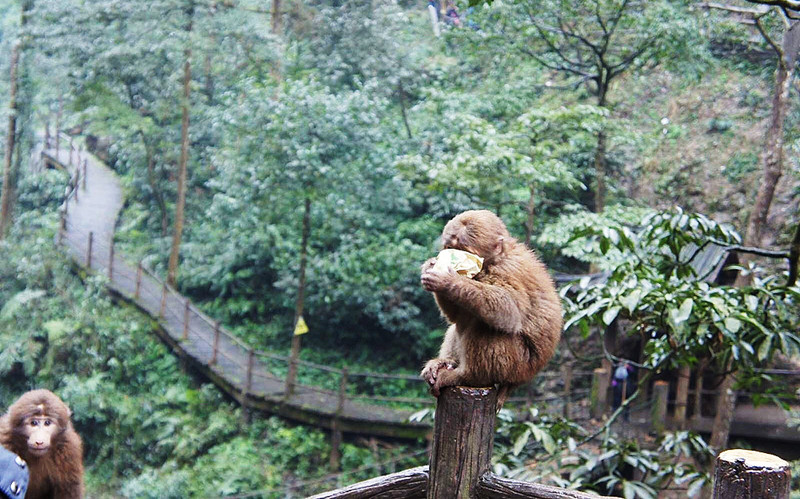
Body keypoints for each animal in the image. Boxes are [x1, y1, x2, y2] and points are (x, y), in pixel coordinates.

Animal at [418, 209, 564, 408]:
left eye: (465, 251)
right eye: (449, 247)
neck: (494, 261)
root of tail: (523, 379)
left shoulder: (507, 269)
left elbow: (509, 311)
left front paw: (447, 279)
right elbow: (456, 317)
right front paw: (431, 266)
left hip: (516, 365)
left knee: (486, 325)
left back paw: (466, 376)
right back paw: (445, 363)